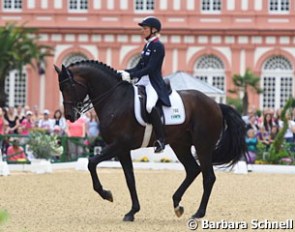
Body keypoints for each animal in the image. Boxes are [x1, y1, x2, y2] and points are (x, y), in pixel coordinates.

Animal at [55, 59, 247, 221]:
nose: (70, 116)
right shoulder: (122, 149)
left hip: (203, 146)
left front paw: (106, 194)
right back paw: (177, 204)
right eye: (60, 89)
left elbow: (92, 162)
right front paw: (132, 212)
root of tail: (216, 105)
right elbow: (130, 179)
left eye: (69, 86)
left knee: (208, 177)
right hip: (180, 145)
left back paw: (198, 213)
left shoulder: (118, 144)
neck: (115, 98)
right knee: (193, 170)